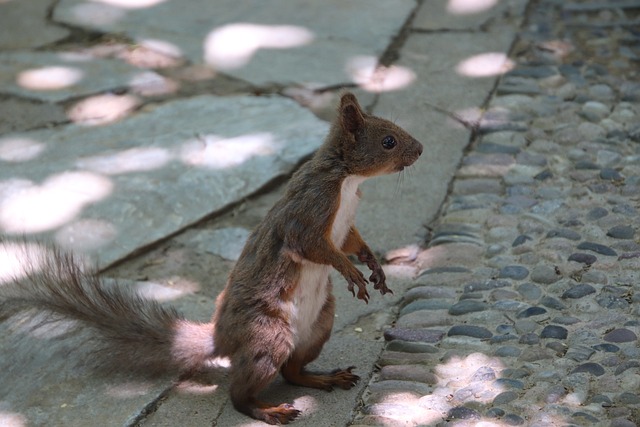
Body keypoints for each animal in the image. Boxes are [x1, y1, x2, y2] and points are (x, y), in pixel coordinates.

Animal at [0, 93, 422, 424]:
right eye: (388, 140)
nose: (420, 150)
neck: (347, 179)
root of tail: (223, 338)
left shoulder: (345, 225)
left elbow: (353, 242)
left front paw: (374, 265)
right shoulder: (309, 211)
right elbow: (315, 247)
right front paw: (351, 272)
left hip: (318, 326)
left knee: (292, 372)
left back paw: (322, 378)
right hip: (269, 337)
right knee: (240, 394)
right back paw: (268, 410)